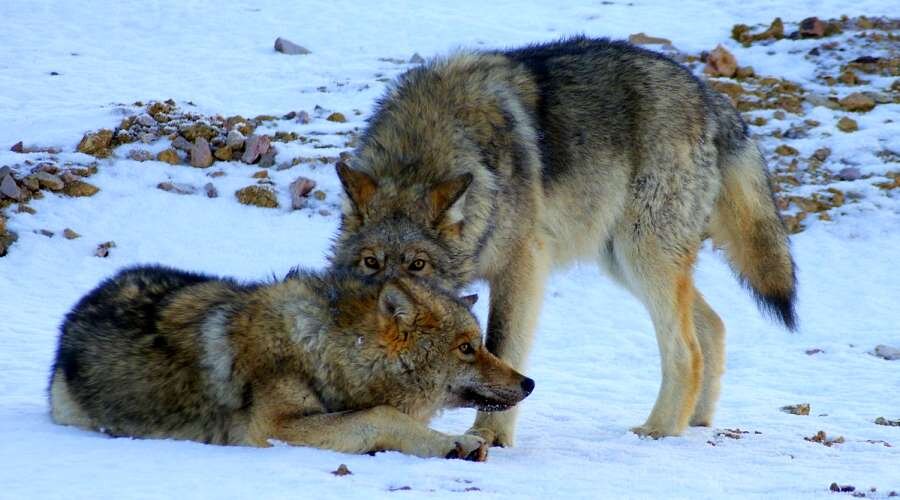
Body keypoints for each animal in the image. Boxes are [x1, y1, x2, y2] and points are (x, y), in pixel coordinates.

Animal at [51, 266, 536, 460]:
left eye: (480, 344)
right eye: (467, 348)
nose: (529, 383)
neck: (326, 347)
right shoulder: (272, 429)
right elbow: (381, 414)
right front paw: (452, 442)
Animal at [328, 36, 796, 442]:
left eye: (417, 264)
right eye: (371, 262)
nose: (384, 311)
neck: (422, 149)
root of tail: (709, 95)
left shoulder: (522, 266)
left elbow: (503, 348)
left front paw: (490, 437)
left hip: (641, 256)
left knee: (686, 350)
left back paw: (660, 430)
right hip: (620, 261)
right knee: (713, 326)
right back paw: (695, 421)